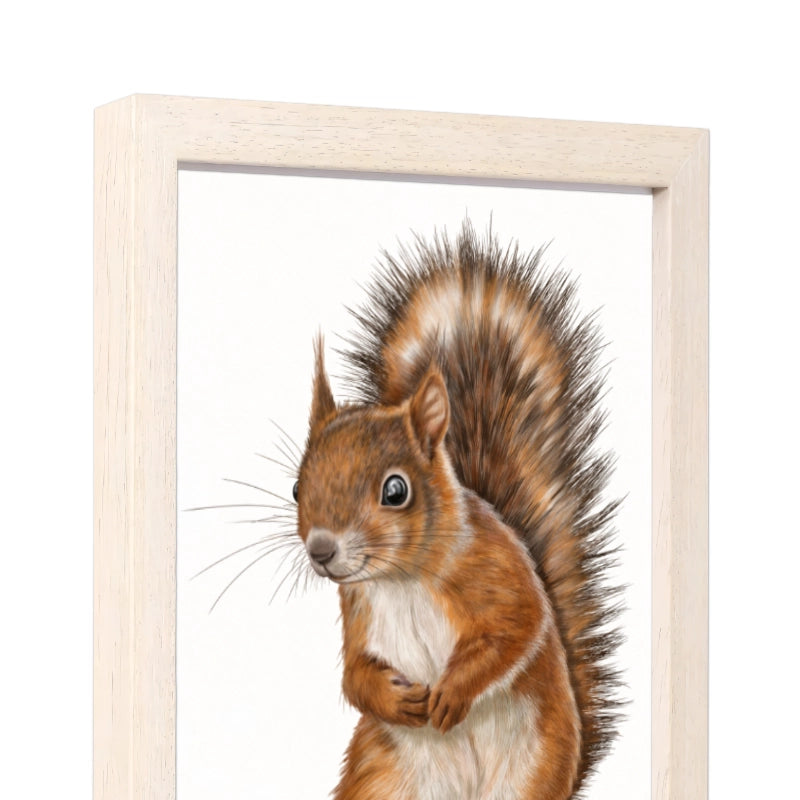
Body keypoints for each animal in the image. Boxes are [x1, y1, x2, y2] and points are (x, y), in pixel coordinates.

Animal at [292, 221, 622, 800]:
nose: (322, 551)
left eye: (395, 490)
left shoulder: (497, 569)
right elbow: (354, 675)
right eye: (294, 488)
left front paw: (450, 693)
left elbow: (516, 629)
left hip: (530, 771)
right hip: (383, 777)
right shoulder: (358, 610)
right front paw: (396, 699)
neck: (402, 579)